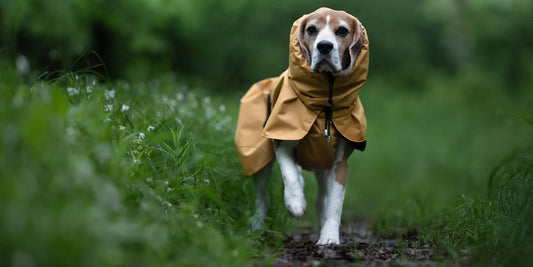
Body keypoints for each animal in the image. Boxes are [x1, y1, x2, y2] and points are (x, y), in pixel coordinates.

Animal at [235, 7, 368, 246]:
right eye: (312, 29)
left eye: (342, 31)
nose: (324, 46)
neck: (324, 102)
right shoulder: (282, 143)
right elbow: (289, 174)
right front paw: (295, 203)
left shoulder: (339, 164)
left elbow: (334, 204)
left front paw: (329, 237)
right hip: (258, 160)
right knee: (263, 198)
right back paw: (257, 226)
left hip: (323, 167)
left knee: (322, 199)